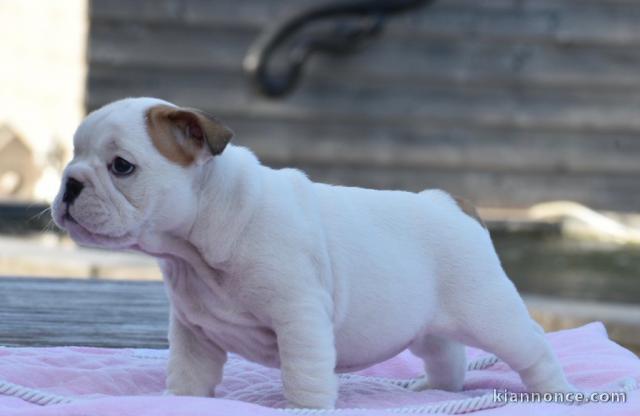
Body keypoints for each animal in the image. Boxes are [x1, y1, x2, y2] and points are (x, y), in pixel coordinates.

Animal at [52, 96, 572, 406]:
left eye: (122, 166)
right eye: (72, 157)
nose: (69, 184)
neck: (195, 245)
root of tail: (451, 203)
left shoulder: (298, 318)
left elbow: (303, 375)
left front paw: (305, 407)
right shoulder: (193, 331)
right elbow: (189, 377)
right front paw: (181, 402)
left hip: (490, 313)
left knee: (532, 347)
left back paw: (556, 392)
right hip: (425, 324)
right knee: (446, 355)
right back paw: (432, 388)